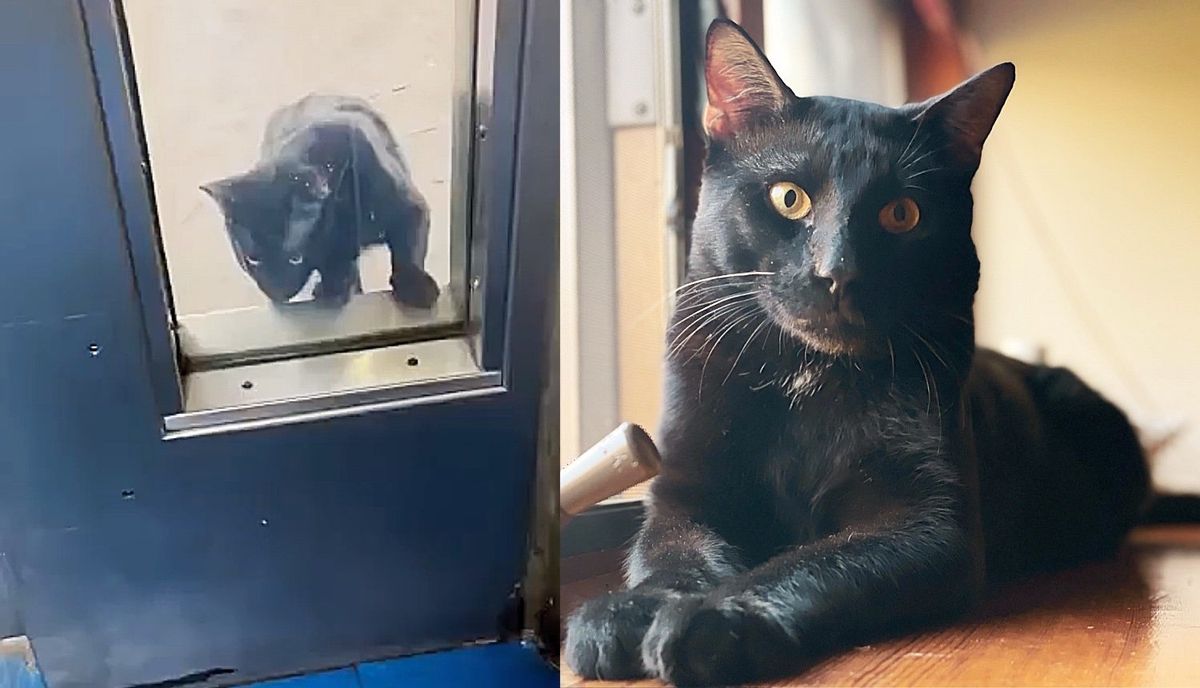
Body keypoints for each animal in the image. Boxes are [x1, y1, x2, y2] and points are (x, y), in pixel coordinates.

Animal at [199, 95, 439, 309]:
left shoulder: (409, 207)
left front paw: (416, 285)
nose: (276, 293)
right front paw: (334, 286)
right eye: (252, 259)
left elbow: (407, 252)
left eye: (296, 258)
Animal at [566, 18, 1147, 681]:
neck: (809, 377)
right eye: (788, 197)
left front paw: (713, 620)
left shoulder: (927, 523)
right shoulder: (684, 491)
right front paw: (625, 611)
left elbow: (812, 563)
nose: (837, 272)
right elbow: (671, 553)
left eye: (903, 213)